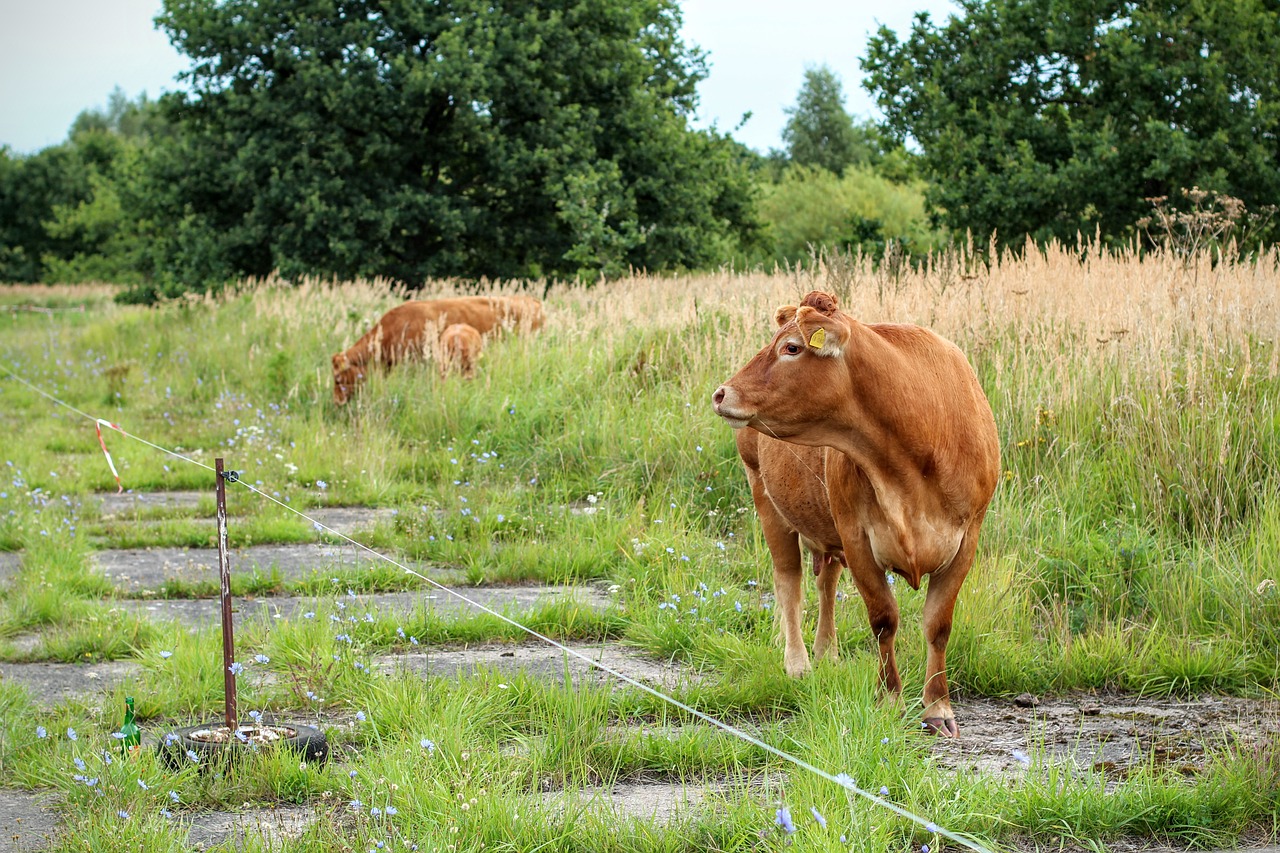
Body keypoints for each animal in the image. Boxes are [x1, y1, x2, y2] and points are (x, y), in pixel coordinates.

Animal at [711, 289, 998, 732]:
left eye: (791, 347)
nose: (722, 393)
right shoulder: (857, 537)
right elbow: (884, 620)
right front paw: (889, 700)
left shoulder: (966, 540)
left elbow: (938, 625)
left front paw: (937, 708)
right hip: (765, 497)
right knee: (789, 582)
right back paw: (798, 662)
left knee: (825, 582)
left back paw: (826, 651)